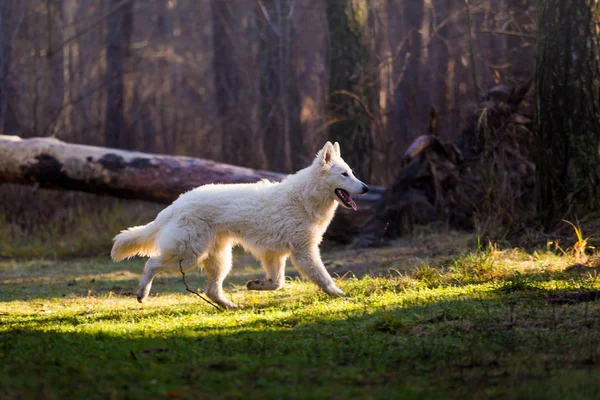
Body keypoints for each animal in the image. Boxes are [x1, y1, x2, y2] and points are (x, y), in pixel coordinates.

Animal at [110, 142, 368, 308]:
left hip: (219, 259)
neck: (304, 197)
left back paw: (230, 307)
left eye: (352, 173)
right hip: (189, 254)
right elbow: (323, 278)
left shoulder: (273, 255)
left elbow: (277, 283)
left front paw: (255, 285)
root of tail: (179, 201)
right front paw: (340, 295)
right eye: (344, 174)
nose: (366, 188)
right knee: (152, 263)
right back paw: (142, 294)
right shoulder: (304, 253)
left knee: (211, 290)